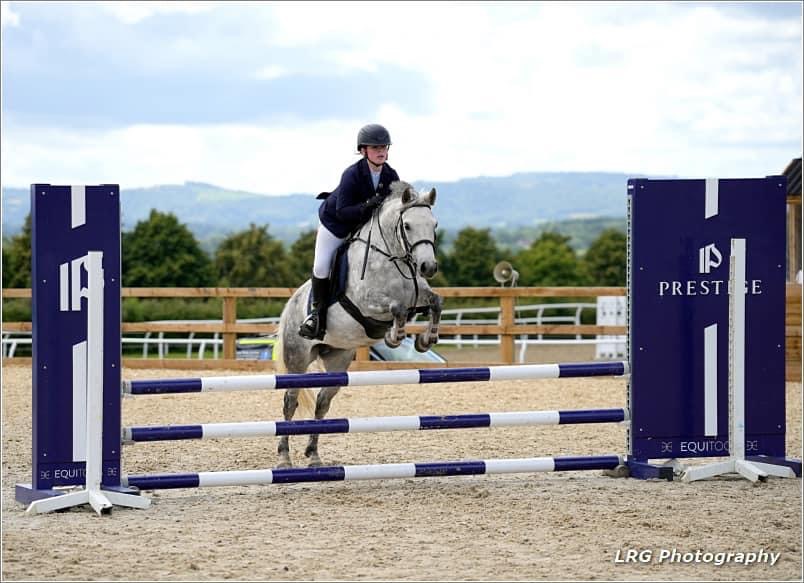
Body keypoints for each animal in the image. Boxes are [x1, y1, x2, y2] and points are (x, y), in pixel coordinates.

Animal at [274, 182, 440, 470]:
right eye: (407, 226)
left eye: (434, 225)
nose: (428, 266)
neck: (392, 259)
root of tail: (291, 303)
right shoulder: (367, 304)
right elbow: (397, 309)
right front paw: (395, 336)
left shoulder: (419, 297)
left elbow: (435, 302)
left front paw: (425, 340)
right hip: (297, 359)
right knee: (290, 401)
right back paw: (284, 457)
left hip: (338, 358)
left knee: (322, 402)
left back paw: (314, 455)